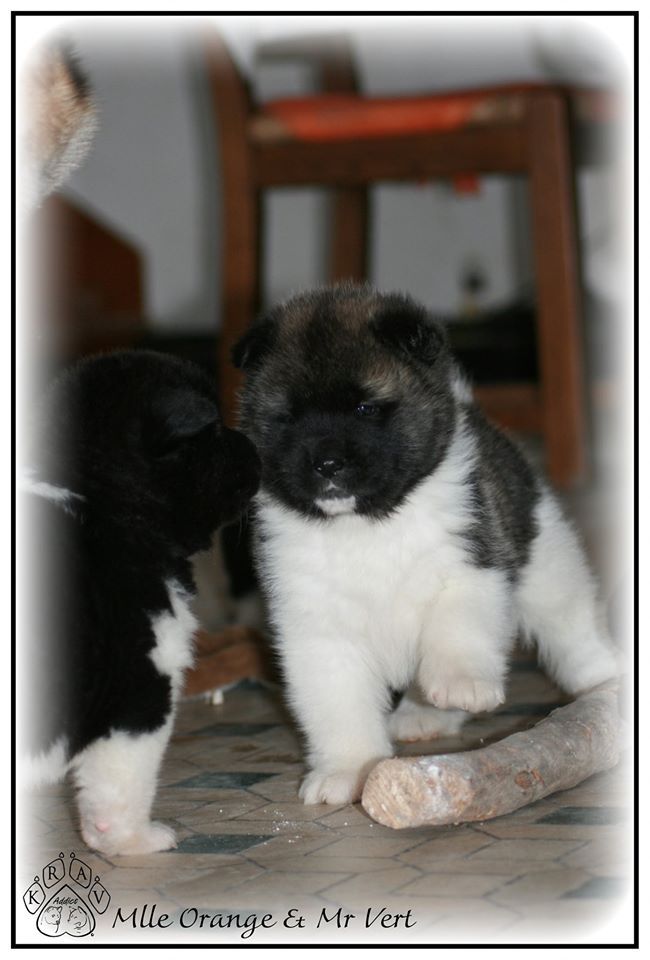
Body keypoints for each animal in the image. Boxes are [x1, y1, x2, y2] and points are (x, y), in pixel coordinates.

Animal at [20, 350, 261, 854]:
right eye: (214, 431)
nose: (256, 447)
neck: (106, 499)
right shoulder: (142, 689)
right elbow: (123, 783)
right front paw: (131, 840)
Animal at [233, 283, 619, 805]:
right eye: (288, 417)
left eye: (366, 408)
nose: (326, 464)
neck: (366, 526)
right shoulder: (316, 628)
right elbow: (337, 704)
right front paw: (347, 769)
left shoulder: (471, 568)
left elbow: (456, 629)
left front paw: (460, 684)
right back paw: (423, 716)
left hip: (548, 564)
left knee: (573, 625)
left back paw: (604, 675)